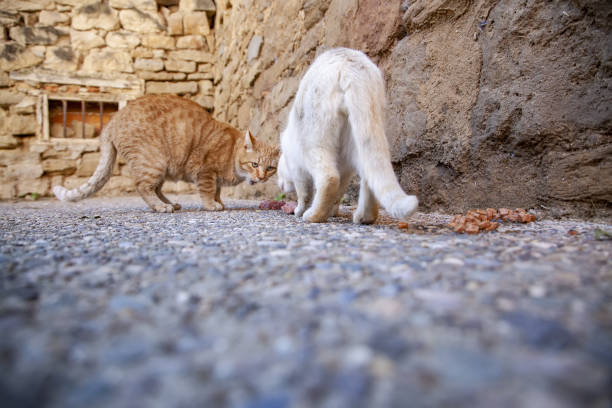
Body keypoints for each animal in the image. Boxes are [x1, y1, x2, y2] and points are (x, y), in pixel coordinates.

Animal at [53, 94, 278, 212]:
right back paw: (161, 207)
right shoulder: (206, 172)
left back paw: (170, 204)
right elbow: (208, 191)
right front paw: (211, 205)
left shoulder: (215, 178)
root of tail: (114, 119)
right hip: (153, 162)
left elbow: (217, 190)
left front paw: (219, 202)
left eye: (270, 168)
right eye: (254, 164)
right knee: (142, 186)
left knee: (156, 189)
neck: (231, 153)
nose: (261, 177)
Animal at [278, 50, 418, 226]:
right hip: (359, 138)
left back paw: (314, 216)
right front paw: (333, 212)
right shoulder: (345, 170)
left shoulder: (298, 169)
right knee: (369, 177)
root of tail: (350, 64)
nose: (279, 185)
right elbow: (338, 195)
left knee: (329, 178)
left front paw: (299, 210)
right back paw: (364, 217)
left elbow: (305, 193)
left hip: (315, 140)